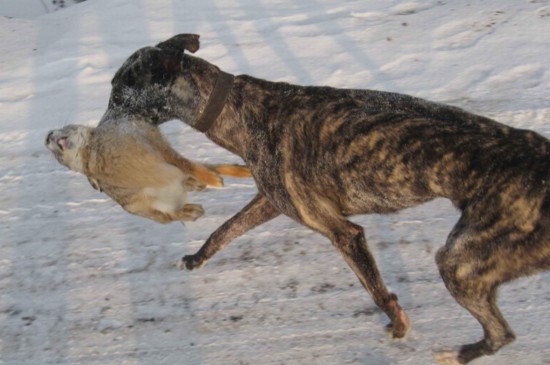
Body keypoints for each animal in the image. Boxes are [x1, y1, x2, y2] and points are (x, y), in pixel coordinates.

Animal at [99, 33, 550, 362]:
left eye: (119, 92)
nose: (101, 129)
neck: (241, 109)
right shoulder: (273, 200)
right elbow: (226, 230)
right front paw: (195, 258)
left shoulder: (342, 232)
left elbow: (376, 290)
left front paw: (398, 323)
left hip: (459, 261)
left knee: (500, 333)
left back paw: (458, 354)